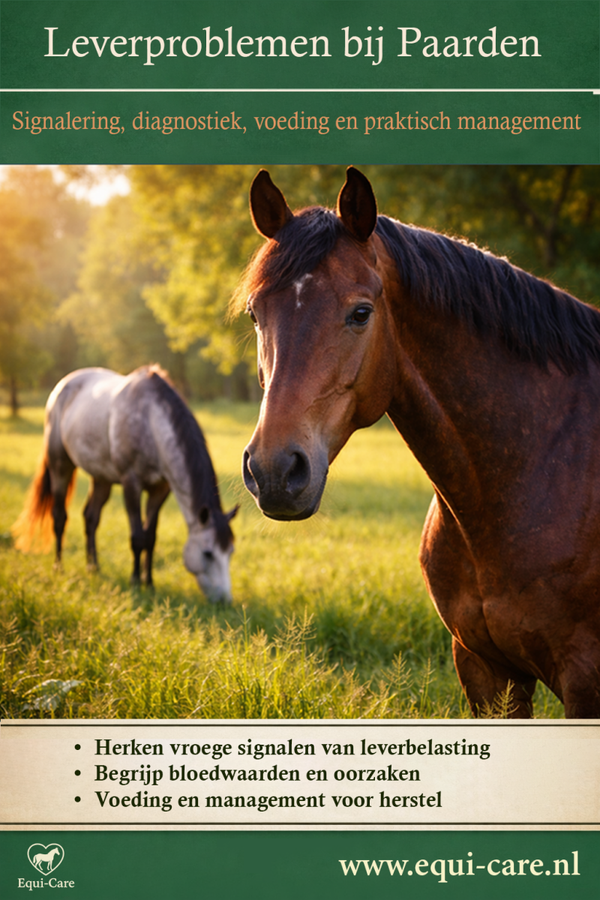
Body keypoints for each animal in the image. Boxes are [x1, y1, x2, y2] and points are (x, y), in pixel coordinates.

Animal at [13, 365, 238, 603]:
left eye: (230, 552)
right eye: (208, 553)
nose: (225, 600)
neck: (150, 421)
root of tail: (63, 384)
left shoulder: (160, 490)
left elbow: (150, 538)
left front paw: (150, 582)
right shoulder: (132, 484)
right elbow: (137, 537)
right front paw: (136, 581)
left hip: (101, 478)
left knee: (91, 517)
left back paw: (93, 567)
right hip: (60, 466)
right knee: (59, 517)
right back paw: (59, 568)